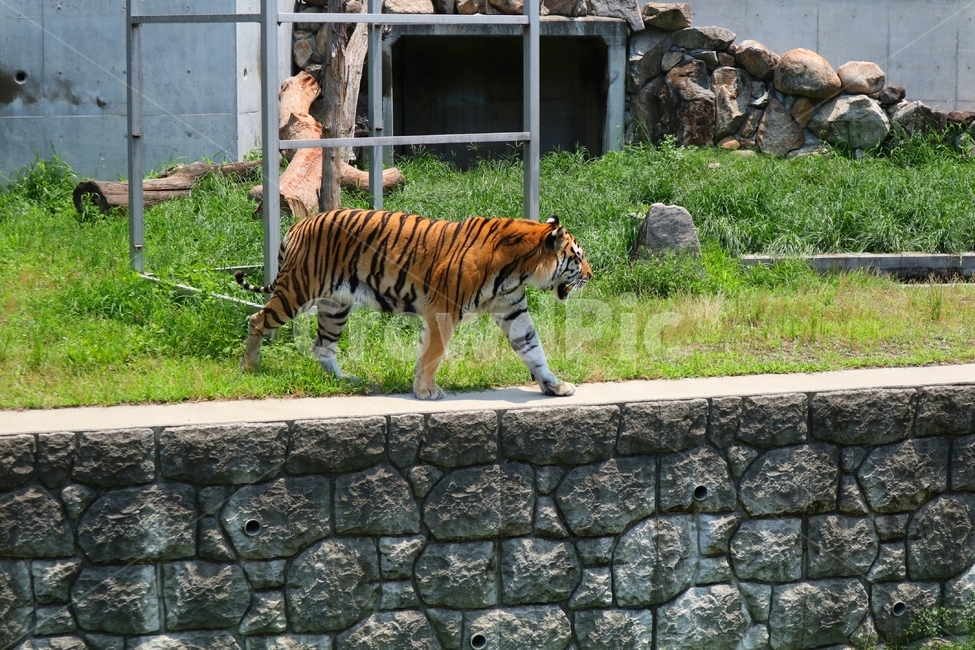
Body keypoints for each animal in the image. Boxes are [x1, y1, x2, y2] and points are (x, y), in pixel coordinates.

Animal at [235, 208, 592, 400]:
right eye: (577, 257)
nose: (590, 275)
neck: (520, 270)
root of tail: (298, 224)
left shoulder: (513, 310)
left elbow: (533, 349)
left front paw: (554, 386)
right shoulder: (442, 310)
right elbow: (433, 352)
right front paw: (425, 391)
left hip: (335, 306)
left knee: (322, 345)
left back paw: (343, 380)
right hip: (297, 291)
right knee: (257, 320)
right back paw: (250, 368)